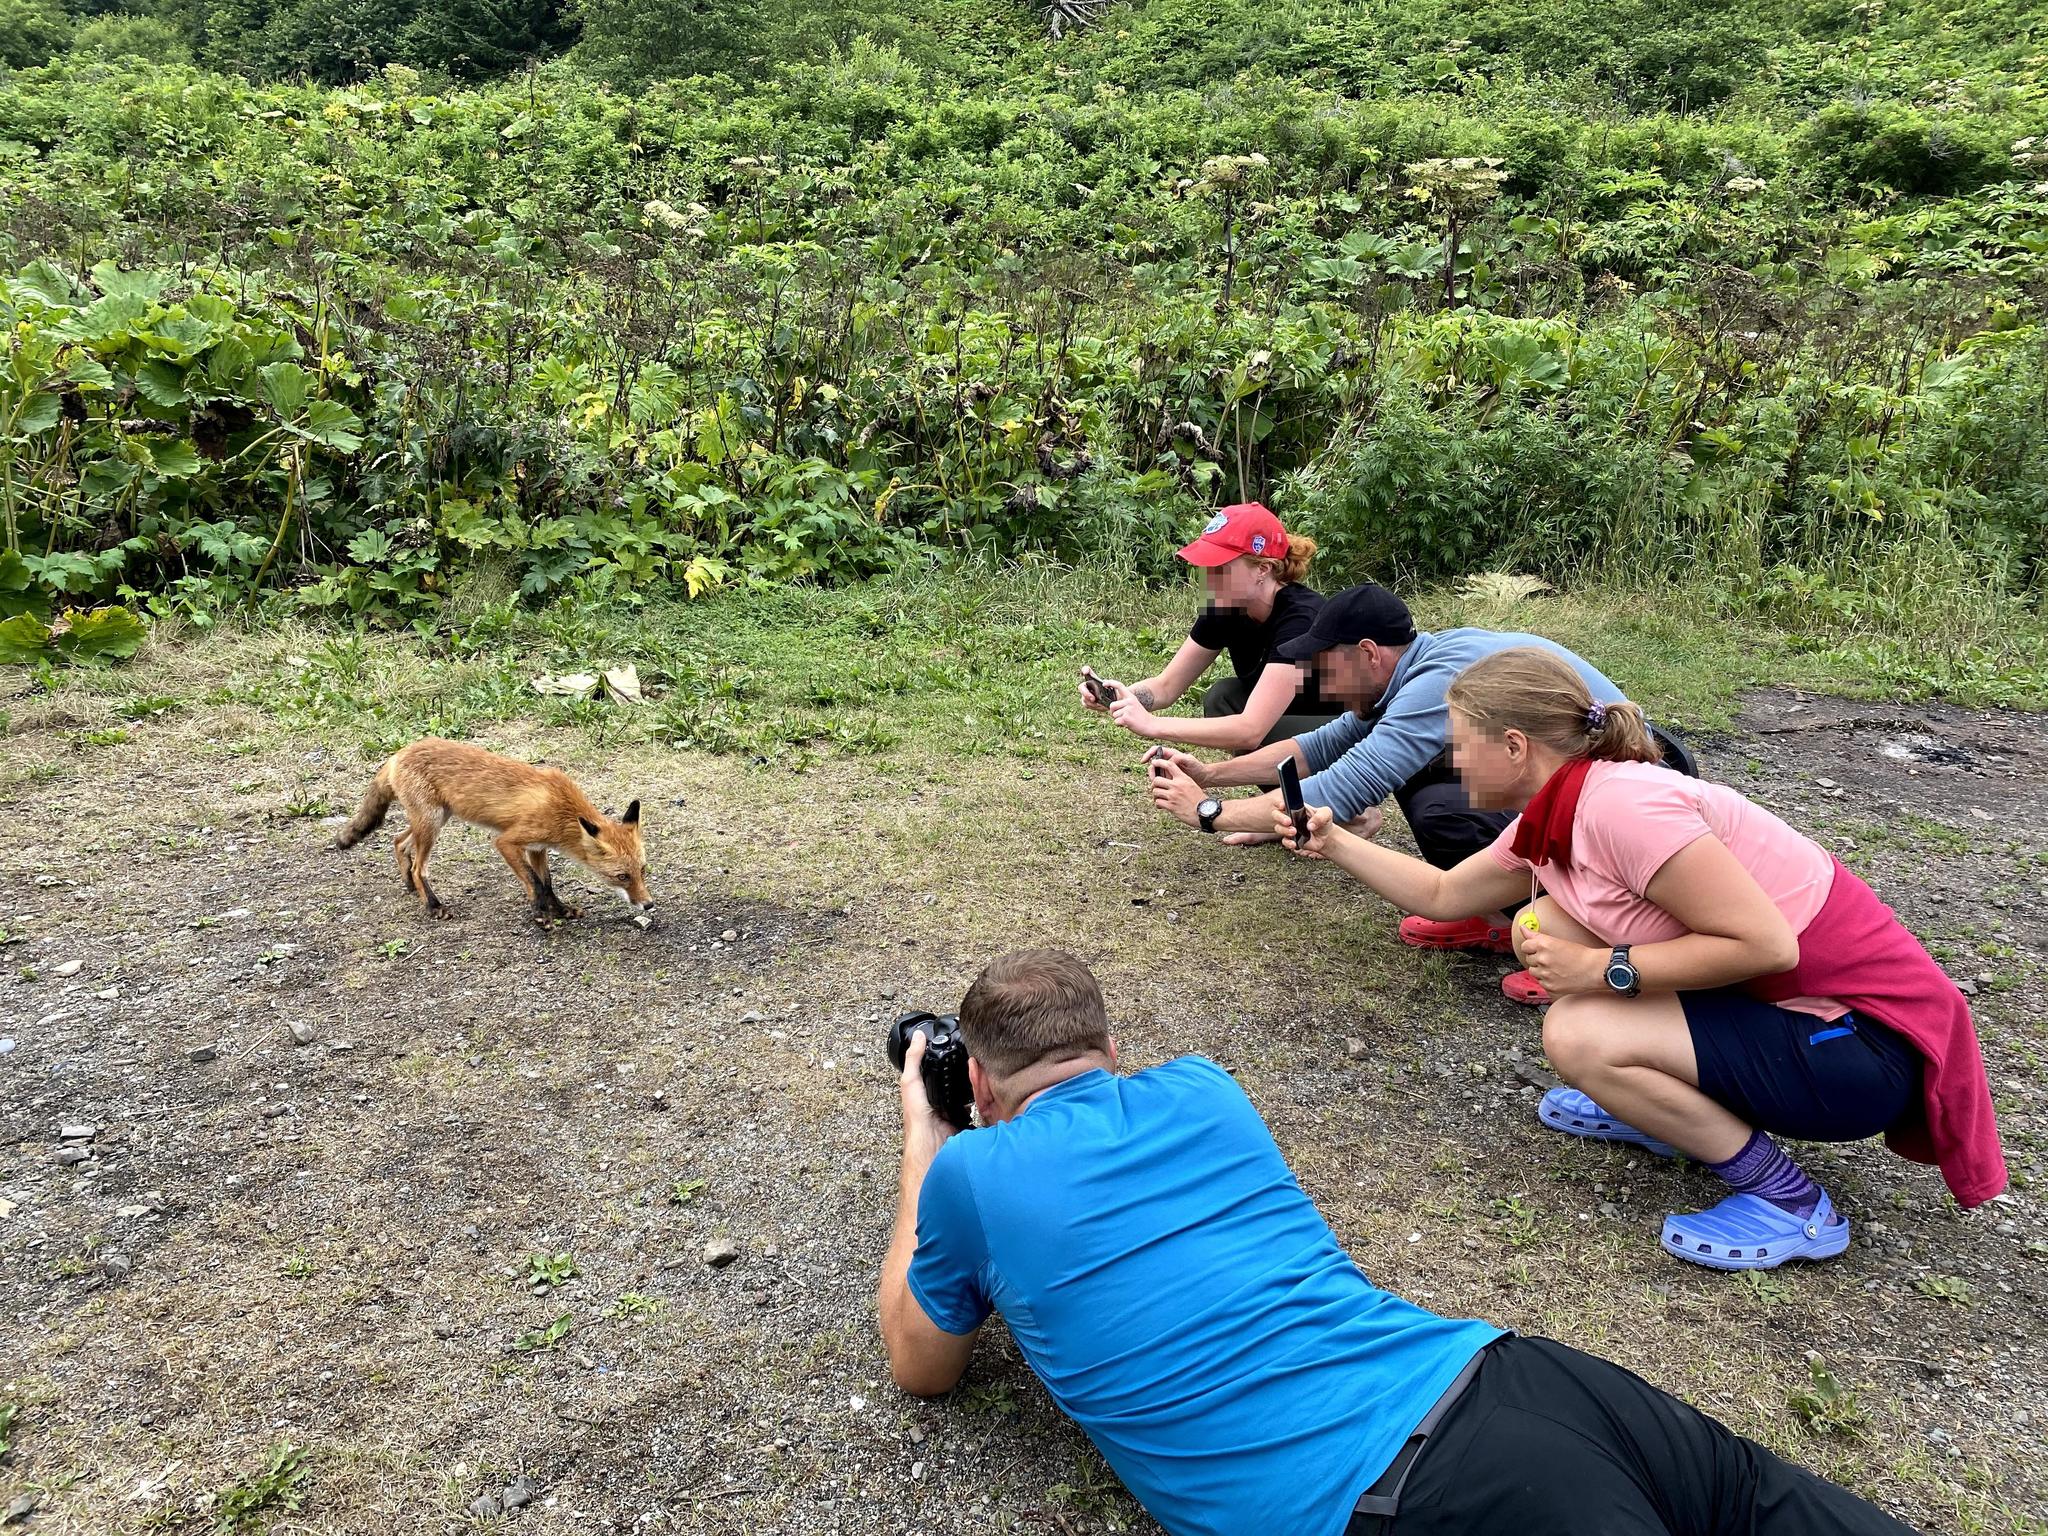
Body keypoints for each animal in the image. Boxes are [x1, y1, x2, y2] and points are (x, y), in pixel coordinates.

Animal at [335, 745, 651, 925]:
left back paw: (412, 888)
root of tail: (399, 753)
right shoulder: (507, 842)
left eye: (643, 870)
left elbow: (547, 883)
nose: (648, 904)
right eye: (622, 876)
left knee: (399, 841)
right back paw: (433, 906)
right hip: (432, 823)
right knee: (418, 867)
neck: (561, 807)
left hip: (436, 819)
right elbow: (534, 882)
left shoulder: (537, 847)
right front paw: (540, 915)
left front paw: (560, 910)